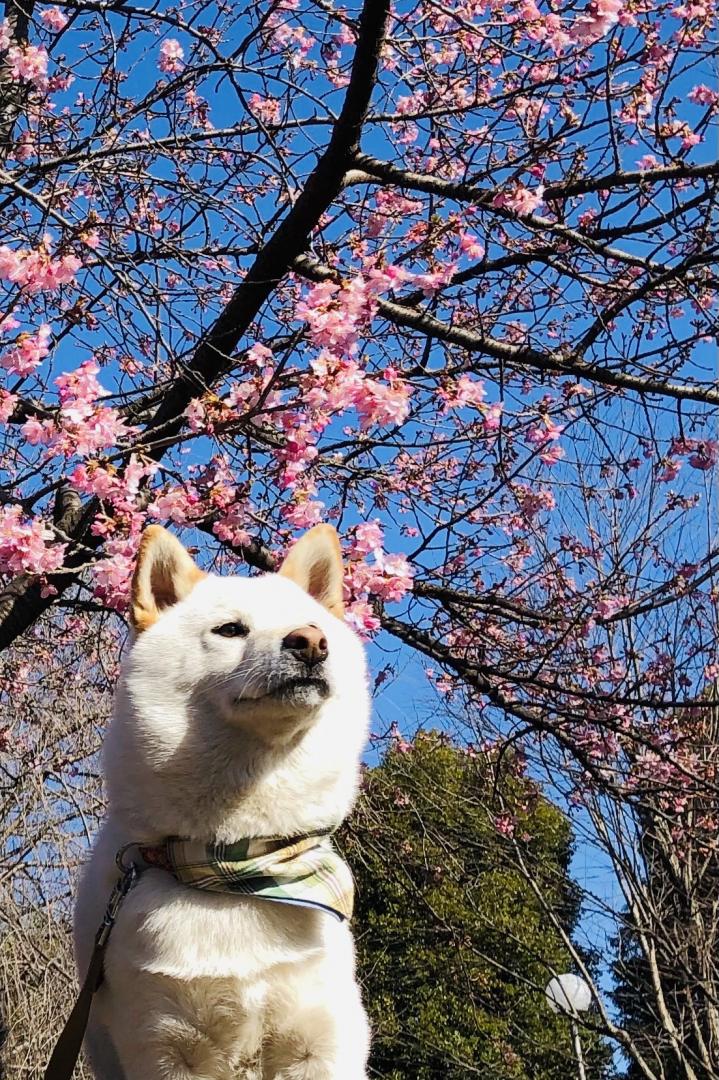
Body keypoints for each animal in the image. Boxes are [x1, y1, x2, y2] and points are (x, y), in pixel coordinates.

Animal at [73, 518, 369, 1075]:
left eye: (309, 624)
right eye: (231, 630)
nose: (312, 642)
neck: (233, 862)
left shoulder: (318, 1042)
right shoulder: (163, 1045)